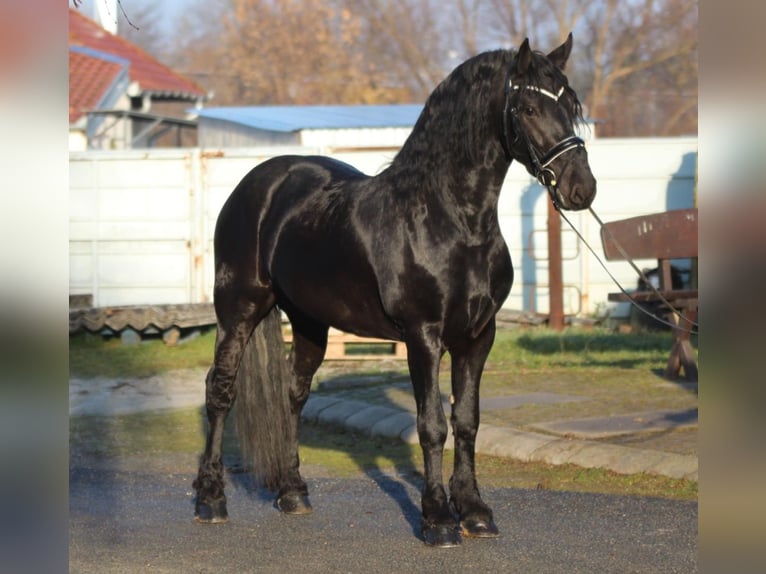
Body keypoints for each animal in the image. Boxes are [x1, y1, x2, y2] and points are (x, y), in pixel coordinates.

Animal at [195, 35, 596, 548]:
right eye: (527, 107)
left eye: (570, 105)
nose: (581, 188)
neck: (448, 221)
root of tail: (260, 182)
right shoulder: (423, 336)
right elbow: (432, 426)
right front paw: (439, 519)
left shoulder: (477, 338)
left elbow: (467, 422)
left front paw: (475, 512)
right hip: (239, 308)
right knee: (220, 390)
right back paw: (210, 499)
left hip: (308, 321)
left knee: (294, 394)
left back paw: (293, 492)